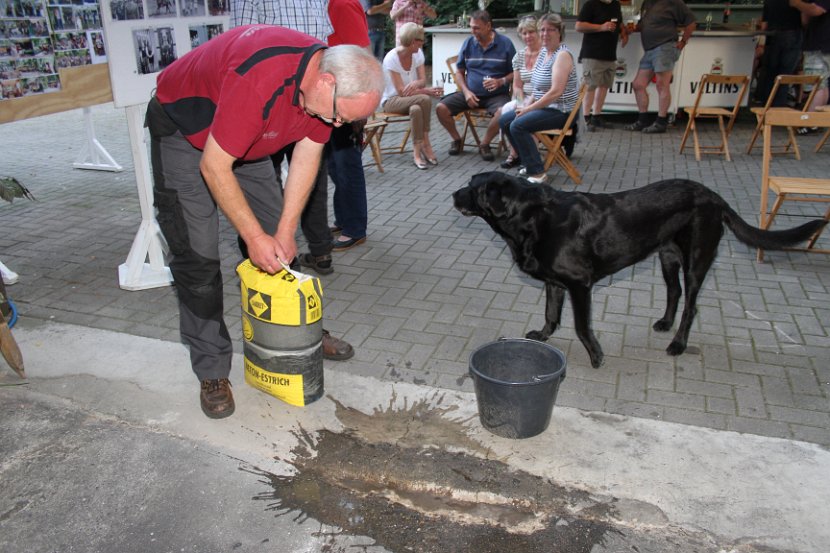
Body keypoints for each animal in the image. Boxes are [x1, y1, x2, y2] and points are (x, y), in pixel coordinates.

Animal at [458, 171, 828, 366]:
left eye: (474, 189)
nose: (452, 195)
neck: (532, 218)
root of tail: (713, 196)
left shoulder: (580, 284)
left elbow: (581, 326)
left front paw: (595, 355)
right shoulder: (555, 283)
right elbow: (551, 313)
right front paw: (543, 335)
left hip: (697, 259)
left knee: (691, 305)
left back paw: (678, 343)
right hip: (667, 257)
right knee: (674, 292)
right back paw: (665, 323)